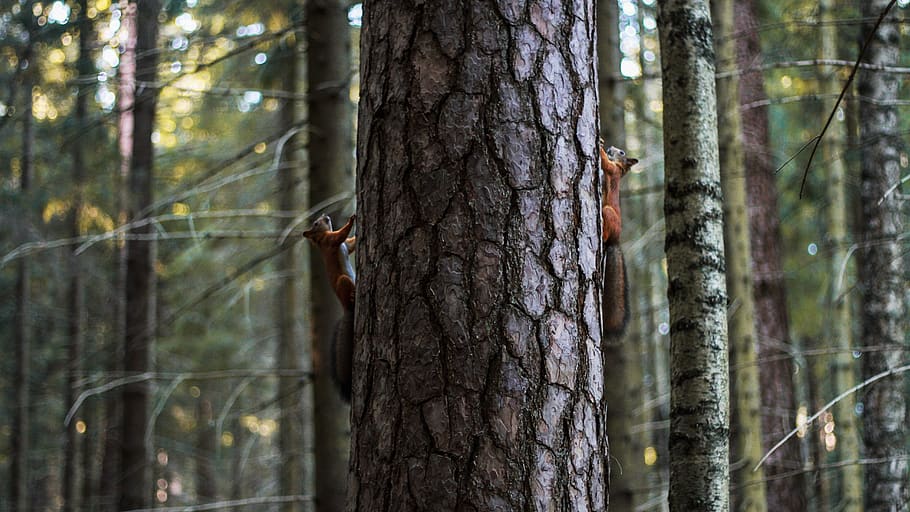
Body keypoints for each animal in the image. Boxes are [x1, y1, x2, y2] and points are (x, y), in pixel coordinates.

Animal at [303, 214, 356, 401]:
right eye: (316, 223)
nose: (326, 215)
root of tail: (347, 309)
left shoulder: (346, 245)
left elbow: (351, 243)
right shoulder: (331, 241)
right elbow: (341, 234)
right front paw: (352, 220)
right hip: (343, 282)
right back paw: (353, 296)